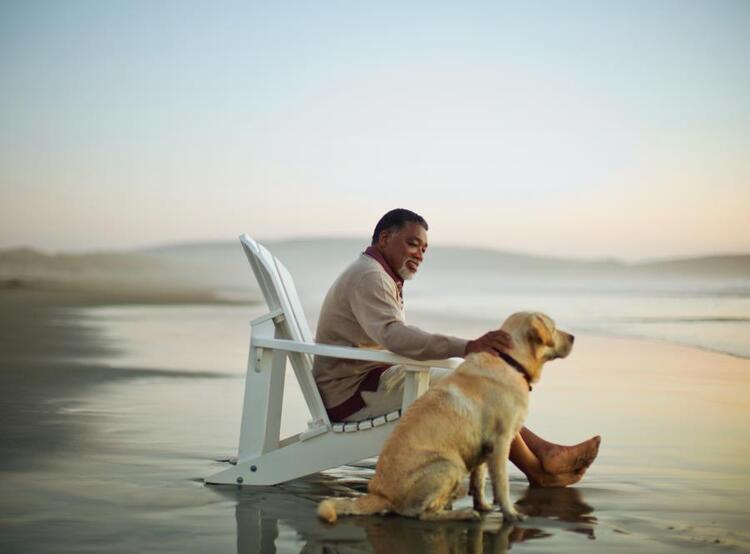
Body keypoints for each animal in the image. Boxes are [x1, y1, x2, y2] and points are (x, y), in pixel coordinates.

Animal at [318, 310, 576, 520]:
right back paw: (462, 514)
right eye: (554, 327)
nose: (574, 336)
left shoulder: (484, 445)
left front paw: (483, 506)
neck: (510, 361)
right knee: (419, 514)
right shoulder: (500, 442)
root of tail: (379, 495)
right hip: (450, 464)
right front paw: (510, 513)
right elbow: (501, 484)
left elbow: (480, 480)